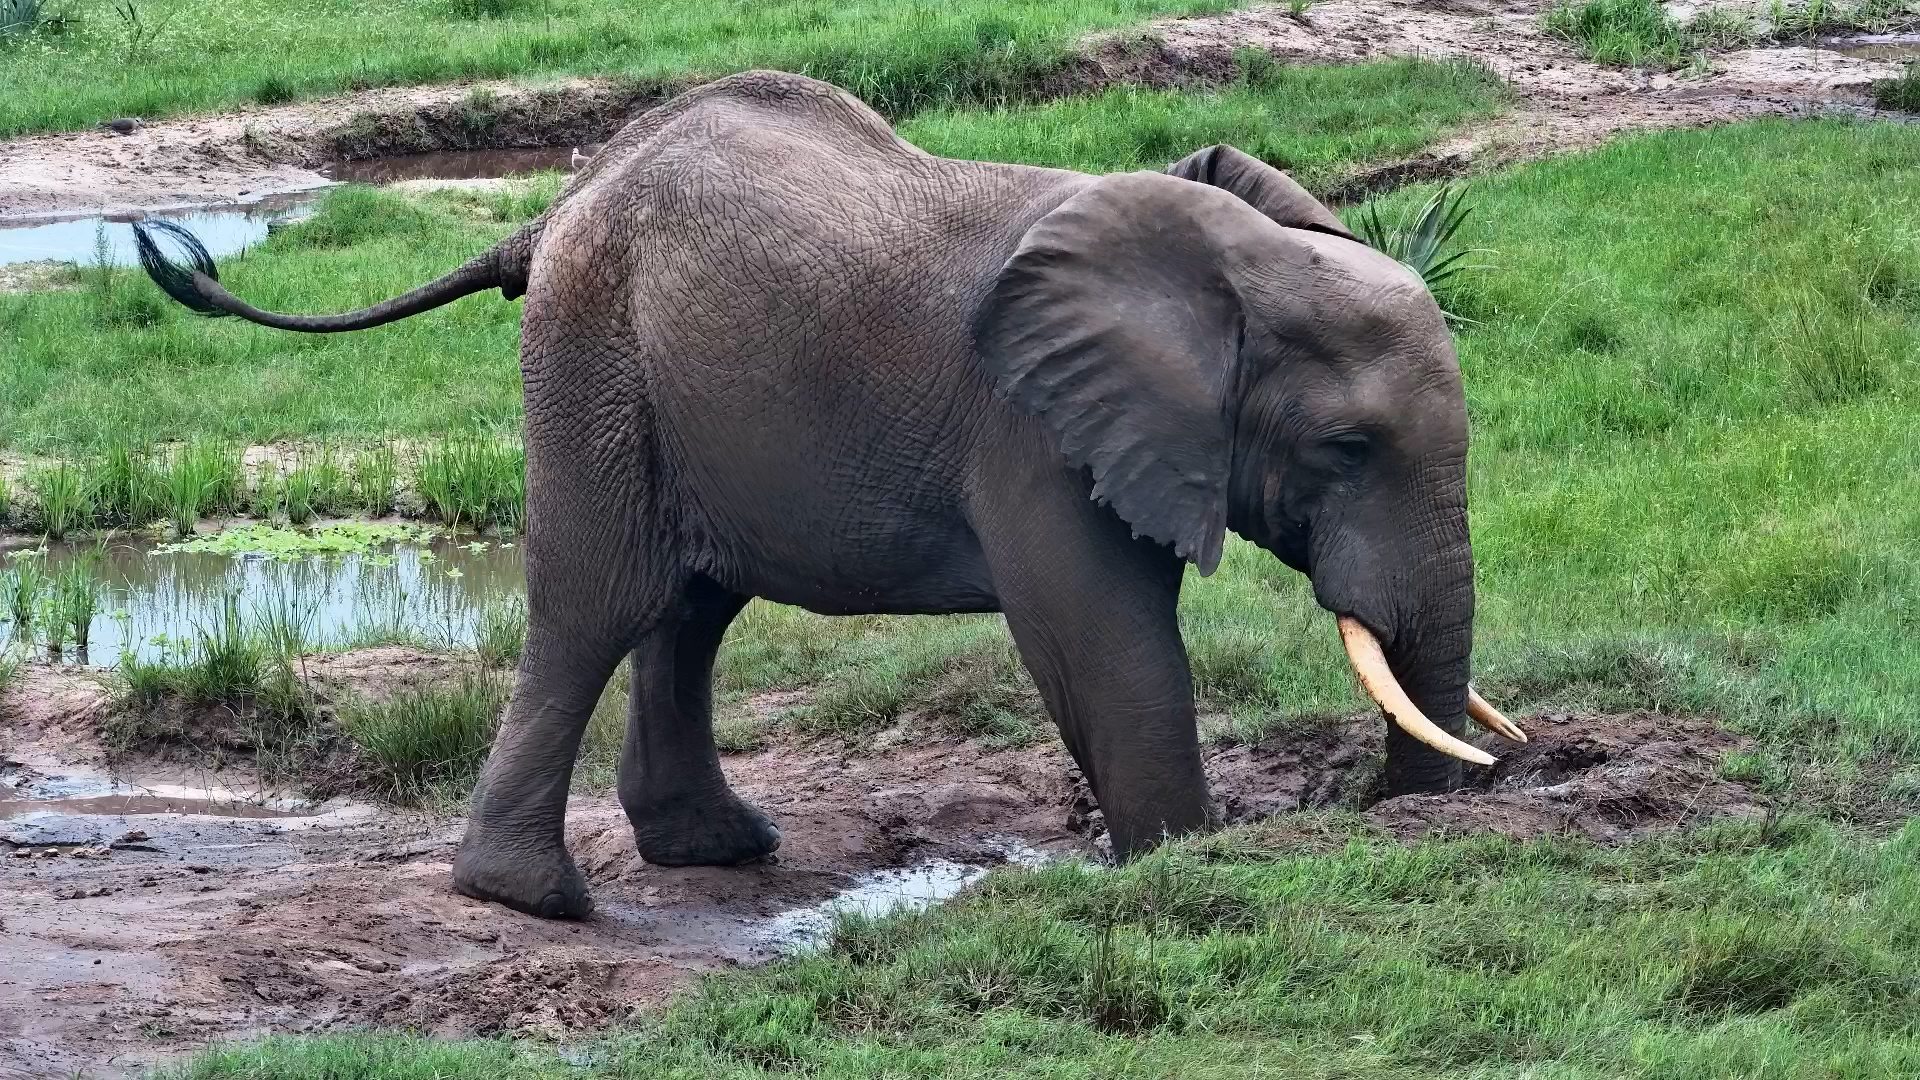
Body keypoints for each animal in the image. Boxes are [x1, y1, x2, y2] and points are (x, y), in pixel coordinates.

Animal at [135, 70, 1526, 921]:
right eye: (1346, 447)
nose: (1387, 808)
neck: (1217, 258)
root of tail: (561, 204)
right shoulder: (1030, 429)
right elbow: (1099, 638)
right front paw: (1181, 863)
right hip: (591, 348)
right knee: (602, 599)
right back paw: (537, 900)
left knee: (691, 607)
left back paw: (716, 849)